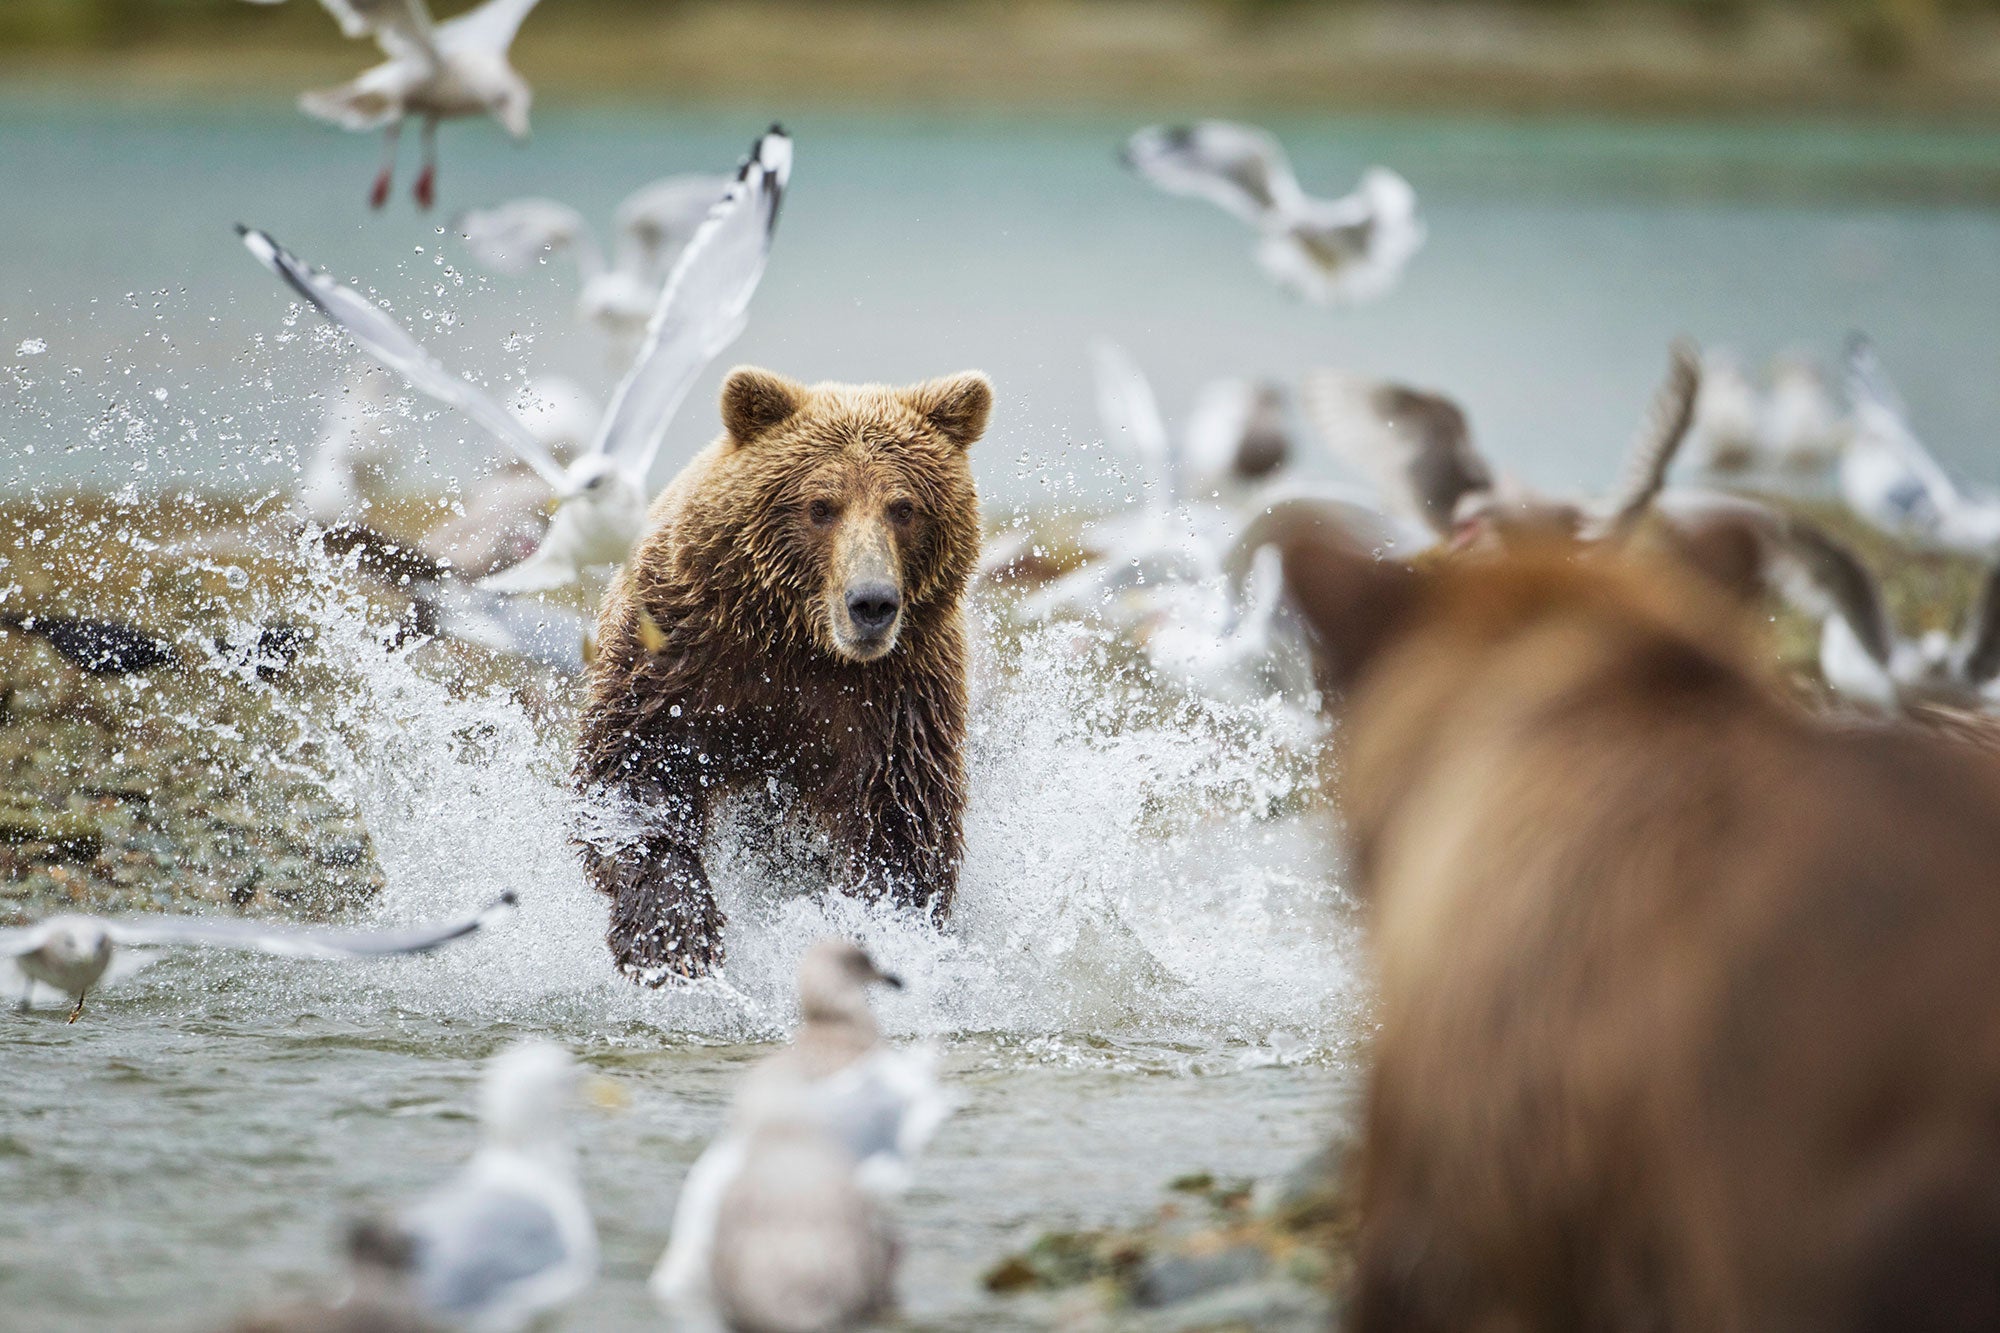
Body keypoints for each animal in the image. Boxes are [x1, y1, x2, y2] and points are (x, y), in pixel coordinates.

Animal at [574, 365, 991, 982]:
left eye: (903, 507)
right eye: (821, 505)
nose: (872, 602)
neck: (797, 640)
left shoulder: (898, 697)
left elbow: (900, 822)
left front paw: (880, 930)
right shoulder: (678, 655)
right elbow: (632, 773)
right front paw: (674, 935)